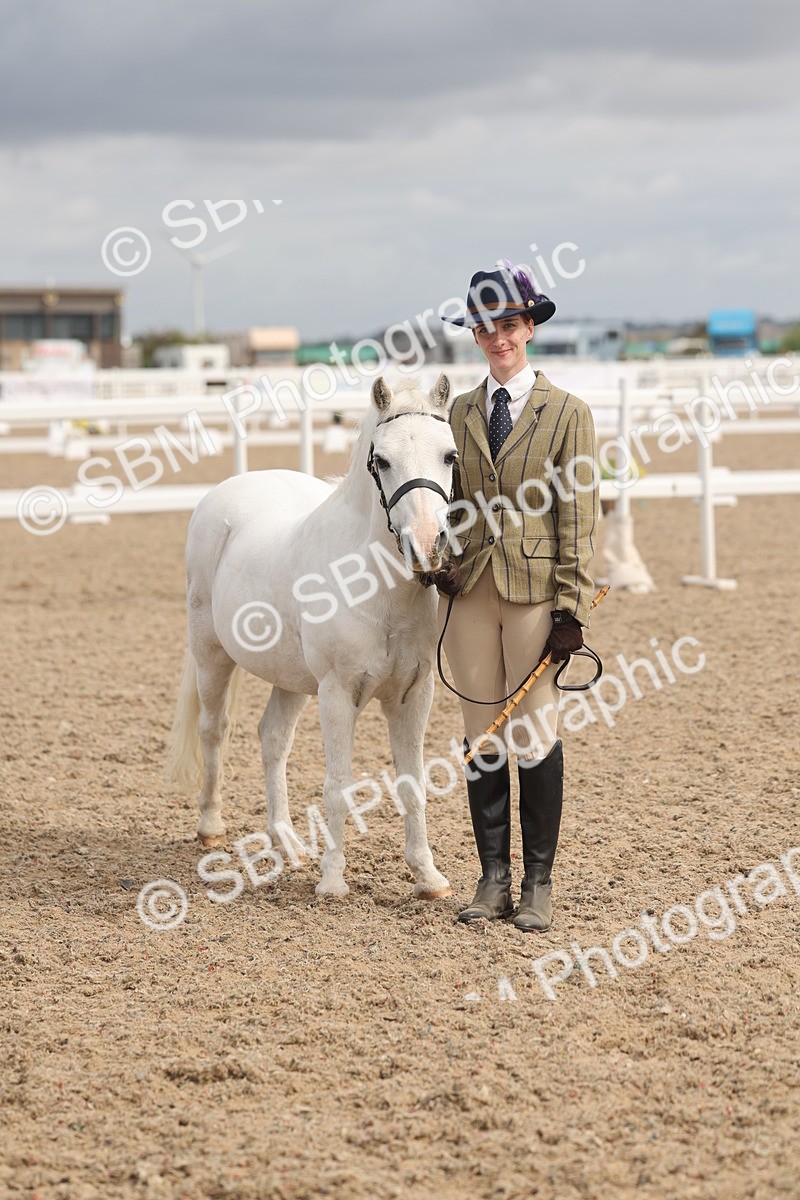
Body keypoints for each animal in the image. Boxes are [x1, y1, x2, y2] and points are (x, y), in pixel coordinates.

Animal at [168, 373, 457, 899]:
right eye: (382, 460)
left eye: (449, 455)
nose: (427, 546)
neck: (376, 586)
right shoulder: (338, 694)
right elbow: (338, 785)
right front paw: (333, 880)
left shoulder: (413, 695)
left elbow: (413, 784)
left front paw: (428, 877)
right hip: (211, 656)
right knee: (214, 730)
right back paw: (211, 826)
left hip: (291, 679)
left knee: (272, 739)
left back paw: (287, 842)